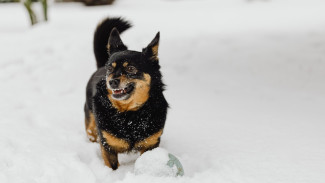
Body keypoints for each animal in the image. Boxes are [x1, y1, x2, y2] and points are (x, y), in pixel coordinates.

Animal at [82, 17, 168, 170]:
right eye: (110, 69)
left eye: (131, 68)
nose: (112, 82)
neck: (129, 114)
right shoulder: (108, 146)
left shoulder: (150, 145)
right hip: (91, 125)